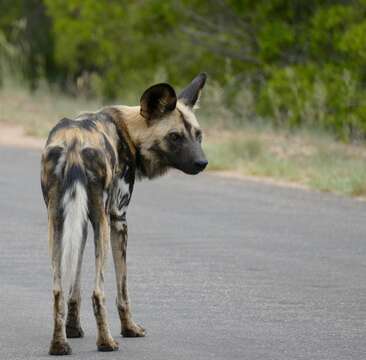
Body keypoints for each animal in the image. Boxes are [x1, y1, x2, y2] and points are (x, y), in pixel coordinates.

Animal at [41, 72, 207, 354]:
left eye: (198, 135)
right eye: (175, 137)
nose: (202, 163)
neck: (128, 132)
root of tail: (73, 142)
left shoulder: (81, 222)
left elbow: (74, 286)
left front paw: (73, 330)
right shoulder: (118, 219)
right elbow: (123, 290)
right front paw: (130, 329)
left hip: (57, 221)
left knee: (57, 290)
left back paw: (59, 344)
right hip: (103, 224)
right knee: (99, 292)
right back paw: (106, 342)